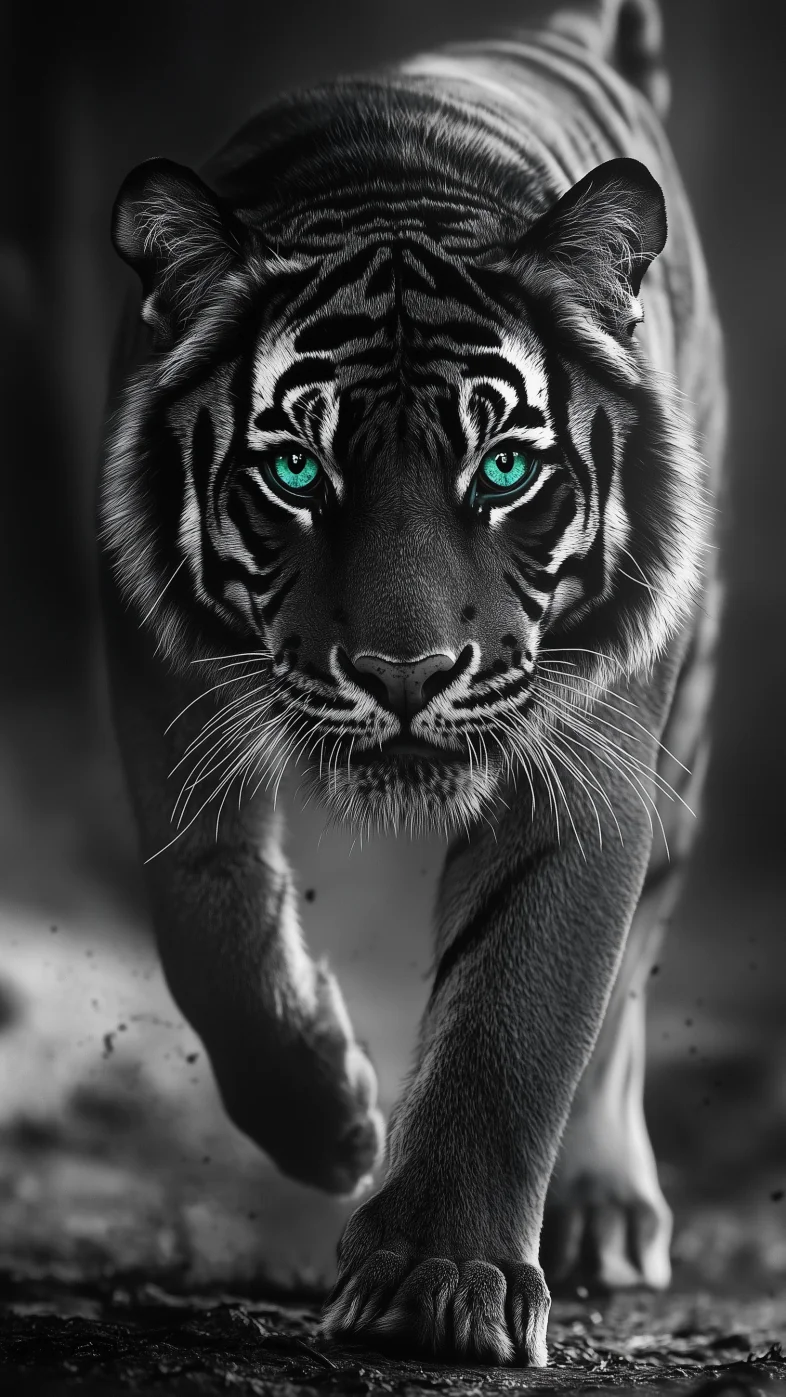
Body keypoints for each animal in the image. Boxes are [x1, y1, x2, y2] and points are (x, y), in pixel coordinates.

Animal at [98, 0, 724, 1367]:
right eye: (295, 469)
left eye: (502, 468)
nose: (406, 670)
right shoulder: (159, 680)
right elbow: (207, 916)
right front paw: (326, 1115)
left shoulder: (587, 746)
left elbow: (519, 1008)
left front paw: (442, 1273)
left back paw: (604, 1209)